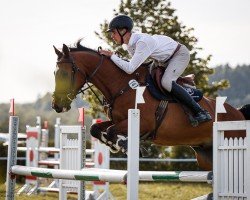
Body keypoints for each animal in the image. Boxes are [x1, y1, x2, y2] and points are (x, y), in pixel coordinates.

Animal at [51, 40, 249, 170]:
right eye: (55, 73)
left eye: (64, 74)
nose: (56, 106)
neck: (123, 85)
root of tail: (239, 114)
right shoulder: (117, 120)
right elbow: (95, 129)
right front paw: (113, 143)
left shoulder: (143, 123)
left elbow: (113, 131)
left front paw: (123, 144)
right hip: (206, 155)